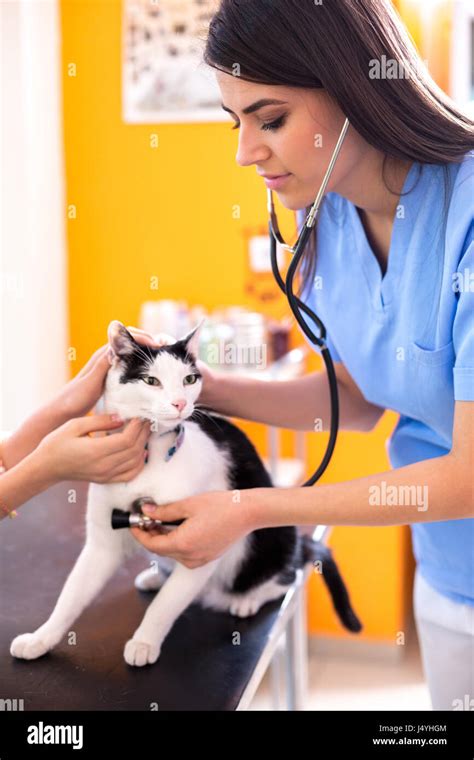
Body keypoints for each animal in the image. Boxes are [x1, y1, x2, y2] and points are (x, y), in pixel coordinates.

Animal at [10, 320, 360, 664]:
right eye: (151, 380)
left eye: (189, 379)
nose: (180, 403)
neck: (150, 454)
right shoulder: (102, 542)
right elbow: (71, 595)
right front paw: (41, 638)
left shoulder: (202, 543)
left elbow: (164, 606)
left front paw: (144, 642)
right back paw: (155, 577)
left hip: (274, 536)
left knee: (286, 575)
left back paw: (246, 599)